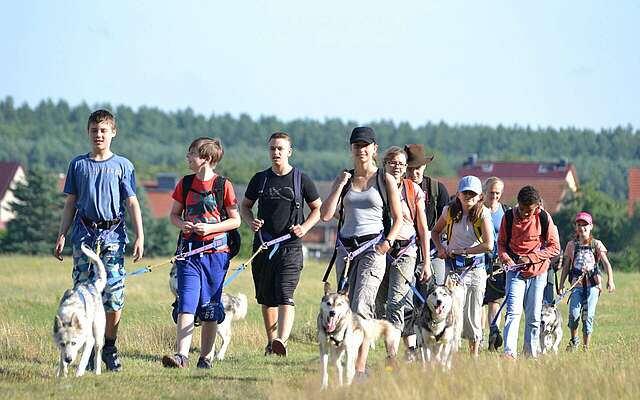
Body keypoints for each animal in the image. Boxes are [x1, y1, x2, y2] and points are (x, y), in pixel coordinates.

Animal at [52, 242, 106, 376]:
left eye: (74, 343)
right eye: (62, 343)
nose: (69, 359)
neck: (69, 313)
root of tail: (92, 284)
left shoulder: (89, 340)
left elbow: (82, 362)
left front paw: (78, 375)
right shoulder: (62, 349)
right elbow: (61, 361)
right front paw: (62, 373)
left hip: (98, 333)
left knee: (97, 353)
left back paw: (97, 372)